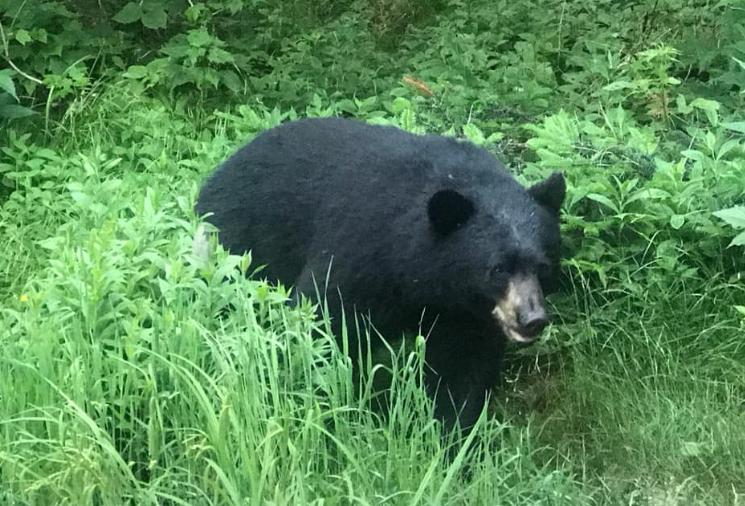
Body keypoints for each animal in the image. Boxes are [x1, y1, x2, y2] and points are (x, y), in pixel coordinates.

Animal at [195, 117, 565, 434]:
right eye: (497, 268)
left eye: (543, 266)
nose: (532, 318)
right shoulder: (362, 251)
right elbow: (323, 324)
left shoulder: (465, 314)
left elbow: (462, 370)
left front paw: (452, 441)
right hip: (235, 248)